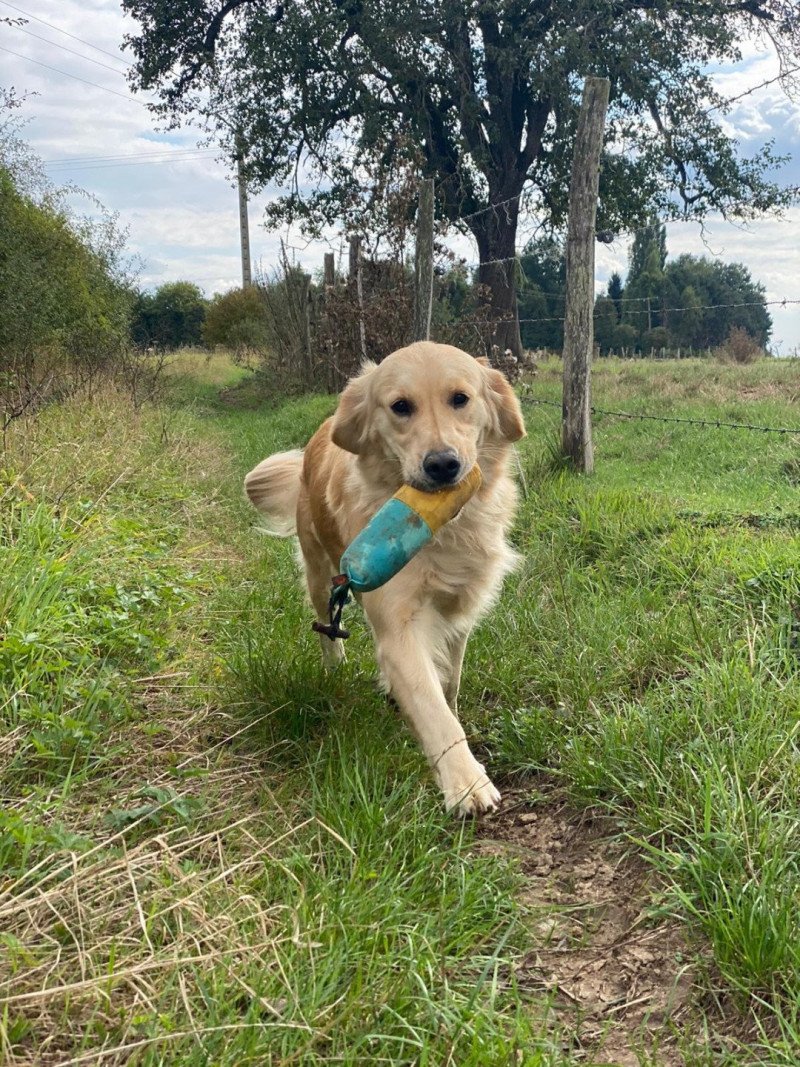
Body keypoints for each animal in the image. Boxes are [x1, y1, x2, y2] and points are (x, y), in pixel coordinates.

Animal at [247, 343, 529, 815]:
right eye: (400, 406)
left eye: (460, 399)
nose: (442, 465)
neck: (444, 531)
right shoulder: (398, 623)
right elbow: (433, 708)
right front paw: (467, 783)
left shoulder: (460, 607)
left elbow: (448, 683)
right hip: (320, 570)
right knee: (326, 623)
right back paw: (334, 666)